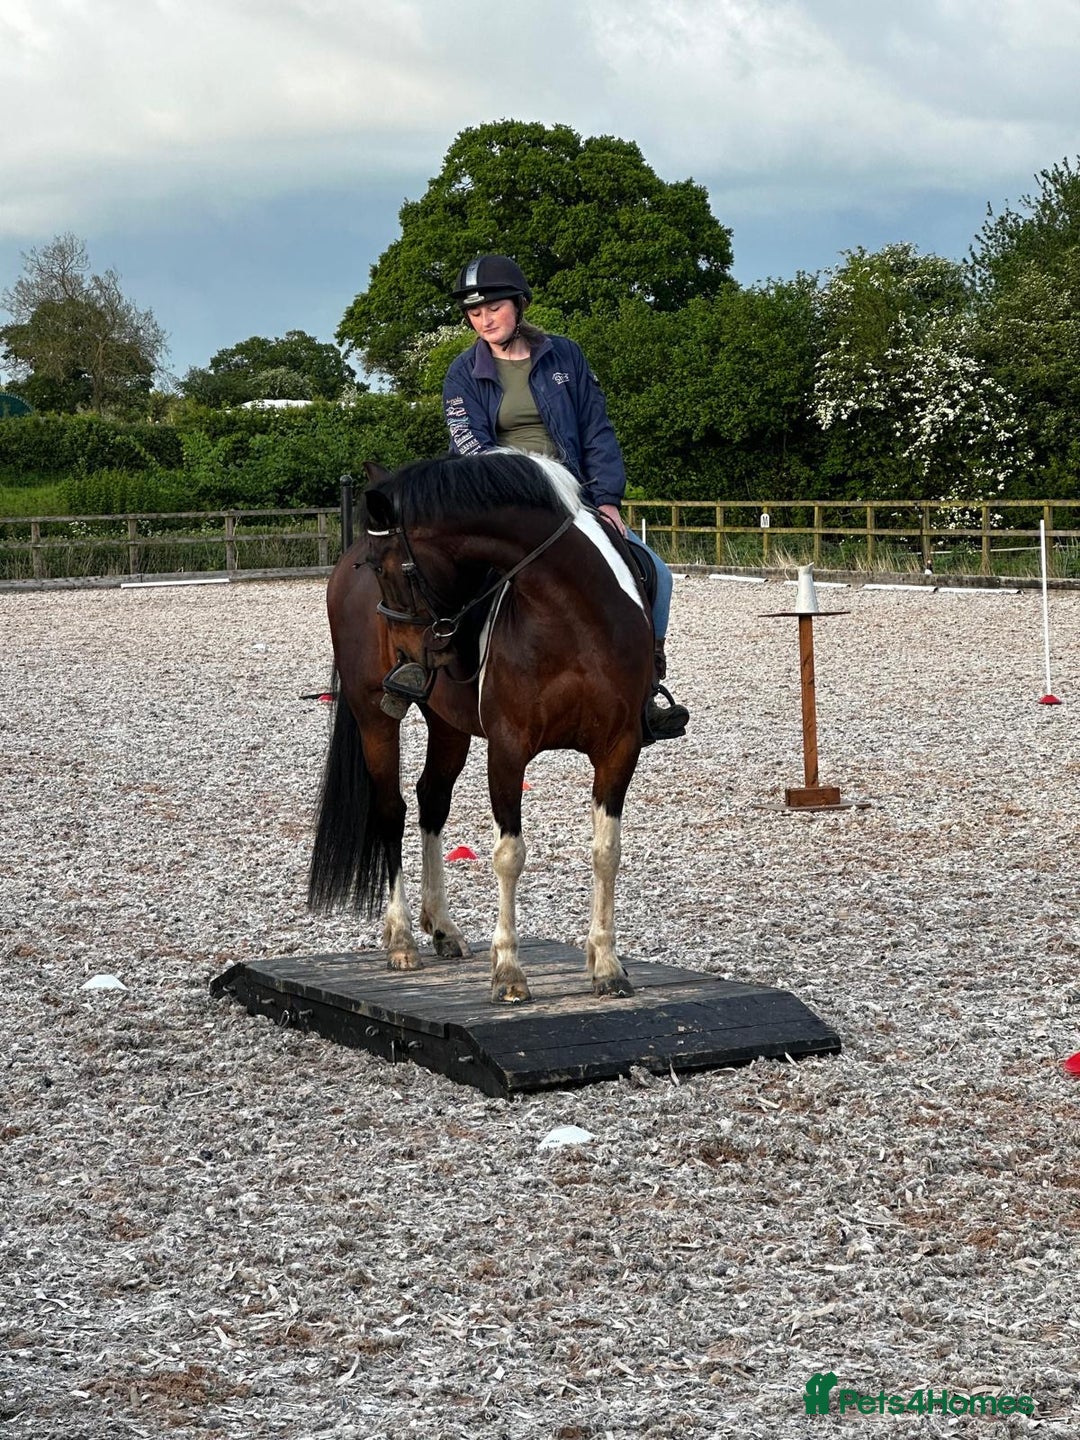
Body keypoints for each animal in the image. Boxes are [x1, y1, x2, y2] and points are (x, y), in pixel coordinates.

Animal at [307, 450, 655, 1004]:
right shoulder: (508, 750)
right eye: (374, 569)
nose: (410, 656)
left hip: (448, 726)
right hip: (373, 716)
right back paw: (401, 938)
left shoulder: (619, 747)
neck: (572, 616)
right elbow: (509, 854)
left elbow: (606, 852)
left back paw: (442, 929)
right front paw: (509, 972)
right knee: (390, 810)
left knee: (431, 800)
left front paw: (606, 965)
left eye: (389, 566)